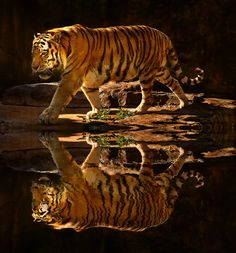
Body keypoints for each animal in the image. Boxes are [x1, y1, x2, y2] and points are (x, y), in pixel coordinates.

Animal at [31, 23, 204, 124]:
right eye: (33, 52)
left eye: (44, 53)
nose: (34, 67)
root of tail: (163, 34)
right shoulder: (88, 81)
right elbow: (93, 97)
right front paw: (96, 112)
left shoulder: (71, 77)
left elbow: (58, 97)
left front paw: (47, 116)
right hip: (160, 71)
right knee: (175, 81)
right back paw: (184, 103)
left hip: (146, 73)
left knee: (148, 97)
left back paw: (137, 111)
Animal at [31, 133, 204, 232]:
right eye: (35, 199)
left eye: (42, 198)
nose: (33, 185)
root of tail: (164, 215)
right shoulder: (80, 173)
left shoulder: (80, 173)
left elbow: (63, 157)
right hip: (151, 179)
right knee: (156, 159)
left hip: (150, 179)